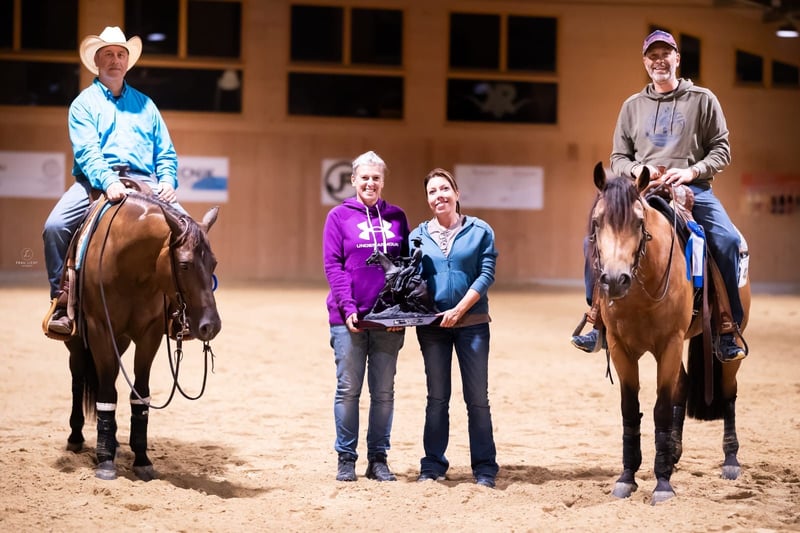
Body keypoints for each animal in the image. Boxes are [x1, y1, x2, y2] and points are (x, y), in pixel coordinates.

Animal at [64, 191, 221, 481]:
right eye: (184, 265)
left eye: (213, 263)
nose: (211, 326)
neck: (130, 267)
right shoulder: (100, 329)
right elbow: (107, 393)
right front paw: (105, 461)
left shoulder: (150, 334)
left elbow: (140, 393)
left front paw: (141, 458)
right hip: (77, 343)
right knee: (78, 379)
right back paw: (76, 436)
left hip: (122, 341)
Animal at [587, 162, 749, 504]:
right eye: (597, 221)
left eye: (638, 222)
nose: (615, 279)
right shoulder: (620, 348)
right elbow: (630, 409)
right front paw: (627, 478)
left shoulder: (670, 344)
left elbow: (661, 407)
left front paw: (662, 483)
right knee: (684, 385)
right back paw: (673, 453)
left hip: (727, 349)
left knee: (728, 392)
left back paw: (730, 461)